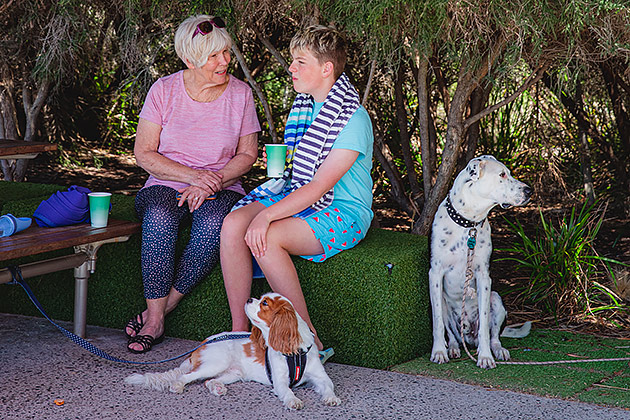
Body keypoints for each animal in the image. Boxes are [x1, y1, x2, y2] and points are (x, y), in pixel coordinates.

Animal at [430, 156, 532, 370]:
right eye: (502, 174)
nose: (529, 191)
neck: (468, 222)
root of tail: (469, 336)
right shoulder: (435, 274)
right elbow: (437, 324)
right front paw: (439, 351)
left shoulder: (484, 278)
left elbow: (485, 326)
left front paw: (485, 356)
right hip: (444, 303)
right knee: (453, 335)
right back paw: (452, 348)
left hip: (496, 299)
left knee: (494, 337)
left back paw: (497, 350)